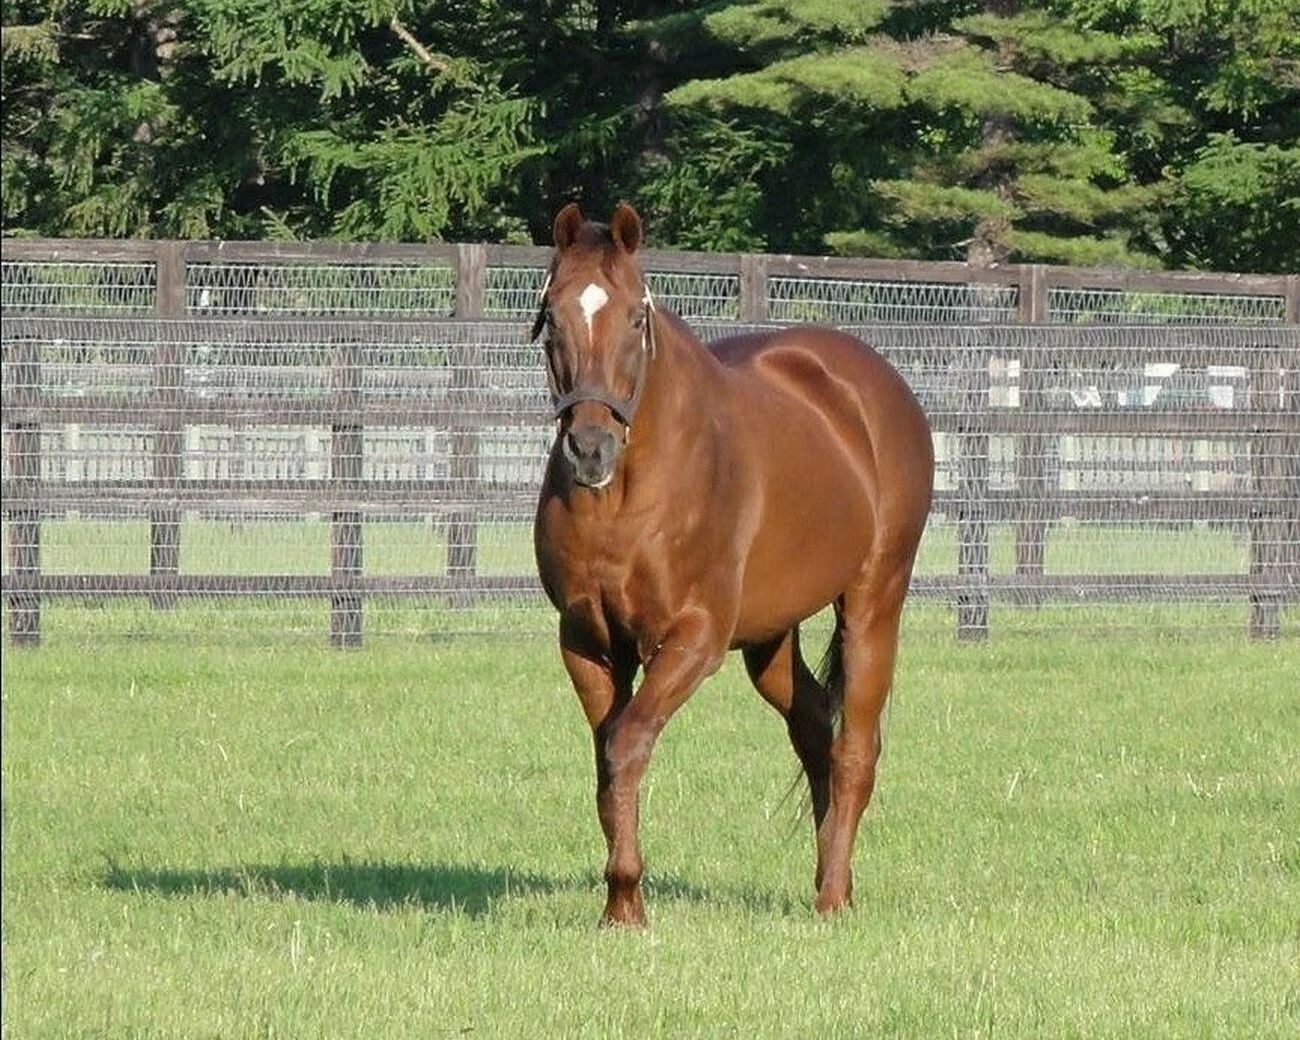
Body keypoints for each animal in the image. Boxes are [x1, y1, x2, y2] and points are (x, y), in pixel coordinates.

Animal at [531, 203, 934, 926]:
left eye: (636, 317)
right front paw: (619, 906)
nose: (590, 447)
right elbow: (608, 760)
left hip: (874, 603)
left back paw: (833, 896)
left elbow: (627, 744)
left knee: (855, 748)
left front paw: (627, 899)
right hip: (770, 637)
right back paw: (831, 874)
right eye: (552, 315)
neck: (628, 496)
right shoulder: (586, 642)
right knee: (813, 727)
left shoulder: (694, 638)